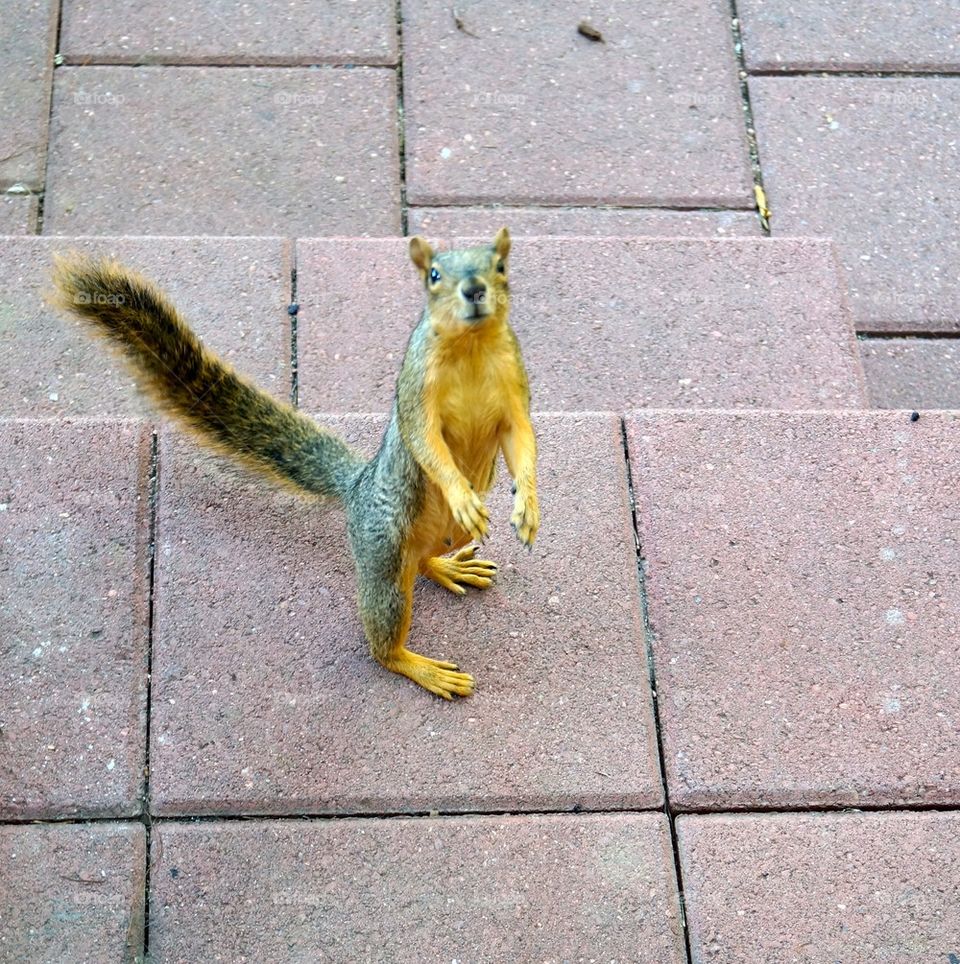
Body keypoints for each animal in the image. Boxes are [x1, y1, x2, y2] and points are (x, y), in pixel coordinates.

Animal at [51, 228, 538, 700]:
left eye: (500, 266)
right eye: (433, 275)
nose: (474, 290)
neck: (470, 348)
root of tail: (356, 487)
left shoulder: (514, 392)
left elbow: (523, 442)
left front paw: (528, 508)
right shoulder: (416, 395)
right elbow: (427, 444)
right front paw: (462, 494)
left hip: (440, 537)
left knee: (422, 562)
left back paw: (450, 566)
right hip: (382, 553)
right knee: (385, 637)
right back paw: (421, 666)